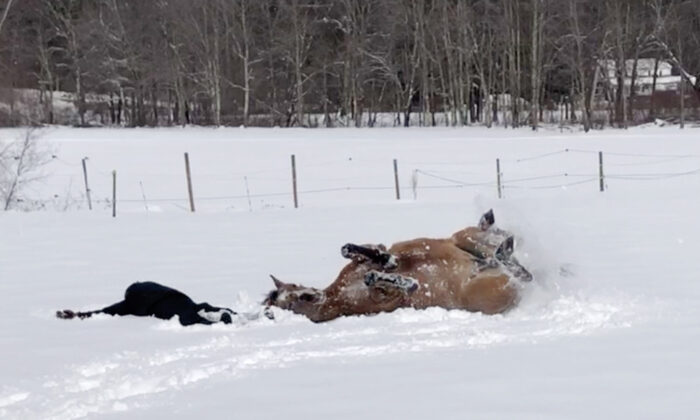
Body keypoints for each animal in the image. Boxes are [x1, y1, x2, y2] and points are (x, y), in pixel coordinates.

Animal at [266, 212, 532, 324]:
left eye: (293, 289)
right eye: (288, 305)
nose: (311, 295)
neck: (339, 295)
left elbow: (354, 250)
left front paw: (383, 259)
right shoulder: (390, 297)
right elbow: (392, 281)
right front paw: (393, 275)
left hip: (464, 237)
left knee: (505, 251)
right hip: (492, 287)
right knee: (514, 270)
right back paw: (502, 255)